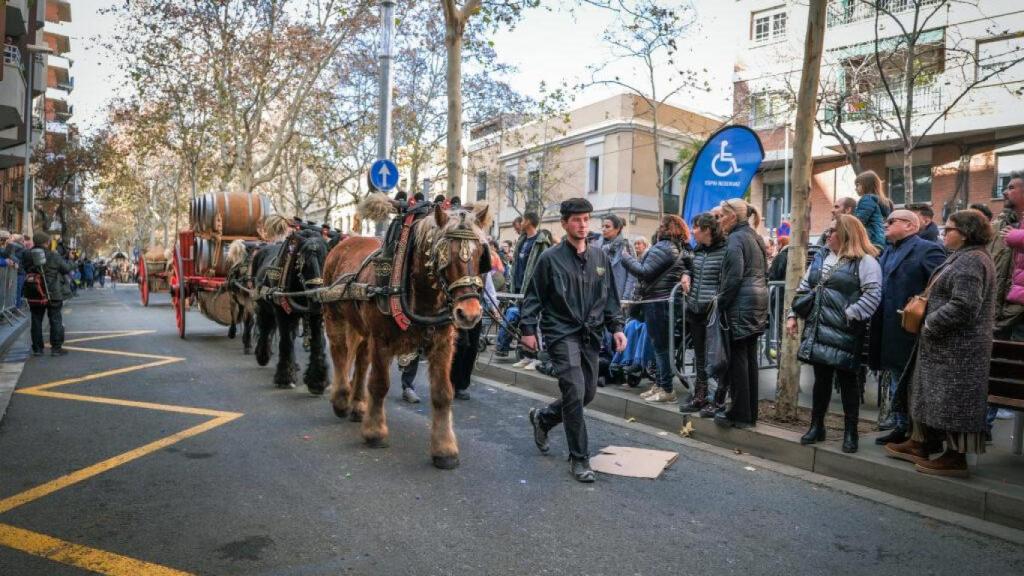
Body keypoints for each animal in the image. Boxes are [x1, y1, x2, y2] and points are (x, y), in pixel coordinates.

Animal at [251, 226, 327, 391]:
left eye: (325, 257)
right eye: (302, 261)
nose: (317, 298)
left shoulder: (316, 316)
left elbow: (318, 342)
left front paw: (317, 380)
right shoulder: (282, 313)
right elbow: (285, 341)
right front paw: (285, 377)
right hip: (264, 307)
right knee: (265, 329)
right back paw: (262, 355)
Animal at [323, 199, 491, 469]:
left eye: (479, 255)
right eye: (445, 254)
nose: (470, 314)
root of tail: (343, 244)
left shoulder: (443, 343)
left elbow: (443, 393)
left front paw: (445, 449)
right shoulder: (381, 340)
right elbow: (379, 384)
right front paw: (375, 432)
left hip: (362, 329)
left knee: (360, 361)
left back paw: (357, 405)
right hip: (334, 314)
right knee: (339, 353)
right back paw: (341, 399)